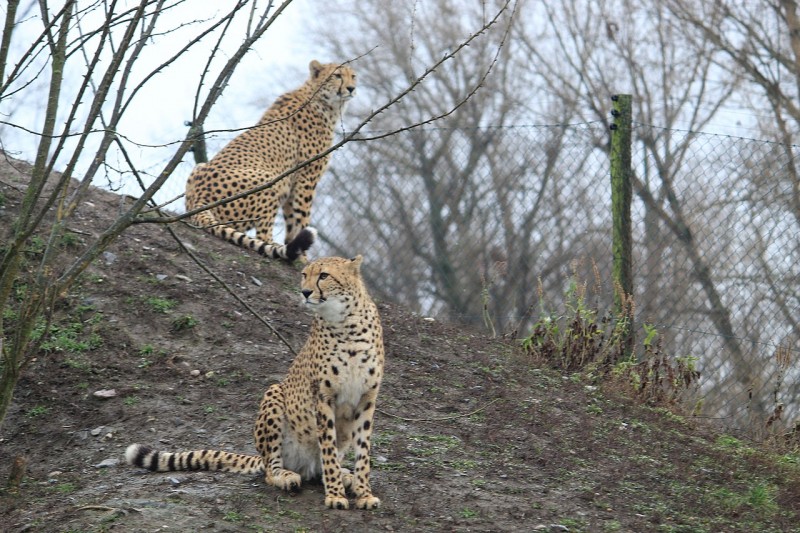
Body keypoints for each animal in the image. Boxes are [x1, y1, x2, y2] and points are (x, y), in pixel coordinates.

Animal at [126, 256, 382, 510]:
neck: (346, 323)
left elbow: (363, 449)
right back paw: (287, 476)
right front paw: (336, 495)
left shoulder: (367, 398)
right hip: (274, 393)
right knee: (271, 468)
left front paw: (363, 492)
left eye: (324, 275)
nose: (305, 292)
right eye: (304, 274)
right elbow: (328, 447)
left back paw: (344, 475)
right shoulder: (322, 396)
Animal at [186, 61, 354, 260]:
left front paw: (295, 249)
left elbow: (292, 221)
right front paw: (303, 258)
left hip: (199, 167)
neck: (324, 103)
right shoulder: (306, 177)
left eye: (353, 76)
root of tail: (198, 199)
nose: (352, 88)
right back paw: (274, 245)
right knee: (262, 235)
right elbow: (302, 217)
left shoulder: (292, 181)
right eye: (337, 75)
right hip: (269, 179)